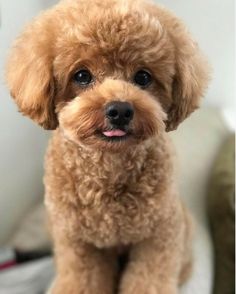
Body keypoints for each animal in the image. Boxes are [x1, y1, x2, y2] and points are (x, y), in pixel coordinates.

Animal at [5, 0, 209, 292]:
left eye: (143, 77)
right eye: (82, 75)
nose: (120, 110)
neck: (109, 168)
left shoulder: (158, 235)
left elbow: (149, 279)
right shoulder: (78, 242)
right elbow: (81, 280)